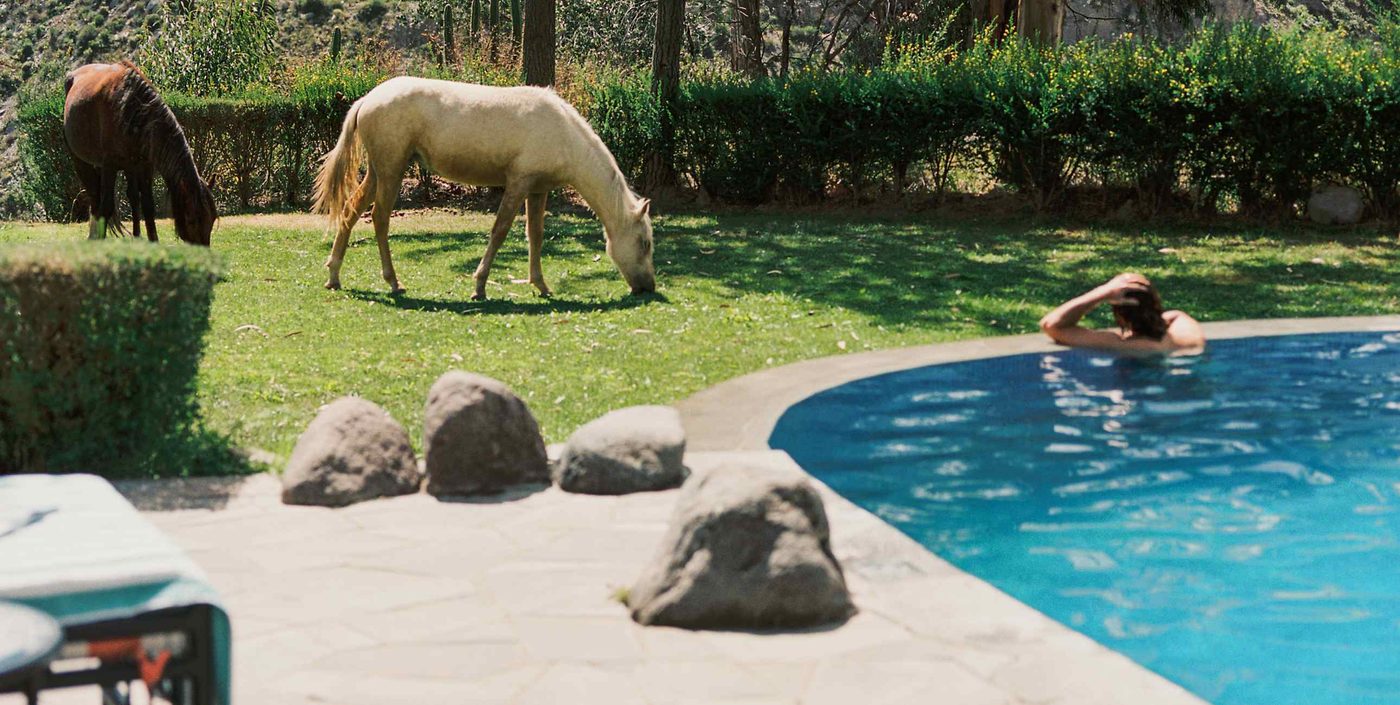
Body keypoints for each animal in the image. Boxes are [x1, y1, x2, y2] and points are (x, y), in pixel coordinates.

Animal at [63, 61, 216, 246]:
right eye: (192, 220)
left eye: (212, 219)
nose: (203, 250)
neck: (130, 108)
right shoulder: (109, 166)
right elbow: (106, 205)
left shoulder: (145, 166)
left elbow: (148, 205)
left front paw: (153, 240)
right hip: (82, 161)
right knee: (95, 197)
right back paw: (94, 235)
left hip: (129, 166)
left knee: (131, 197)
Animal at [312, 77, 656, 299]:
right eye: (644, 243)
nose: (648, 288)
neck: (563, 133)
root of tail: (367, 99)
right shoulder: (518, 184)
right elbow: (500, 231)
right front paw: (479, 286)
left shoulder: (538, 189)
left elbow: (536, 235)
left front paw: (541, 285)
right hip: (391, 171)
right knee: (380, 219)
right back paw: (393, 282)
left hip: (379, 172)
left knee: (351, 210)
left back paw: (333, 276)